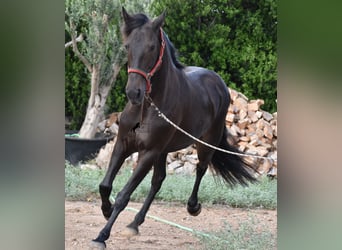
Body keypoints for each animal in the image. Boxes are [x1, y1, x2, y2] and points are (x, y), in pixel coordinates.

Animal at [92, 7, 255, 248]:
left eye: (152, 47)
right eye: (127, 46)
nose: (133, 93)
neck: (148, 106)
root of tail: (219, 83)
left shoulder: (148, 152)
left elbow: (123, 195)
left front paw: (102, 235)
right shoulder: (123, 145)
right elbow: (105, 186)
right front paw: (106, 210)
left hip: (205, 144)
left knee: (200, 169)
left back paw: (193, 206)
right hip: (164, 151)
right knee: (158, 181)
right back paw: (134, 223)